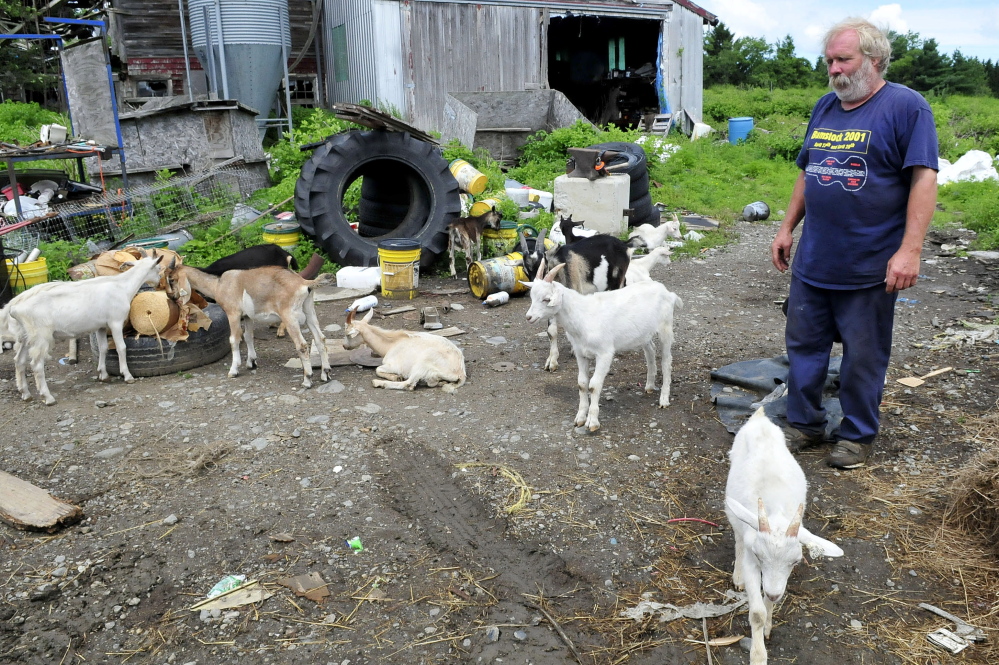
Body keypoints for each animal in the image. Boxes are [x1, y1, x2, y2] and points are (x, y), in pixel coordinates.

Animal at [8, 253, 164, 402]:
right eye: (158, 268)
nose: (160, 284)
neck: (122, 286)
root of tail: (14, 309)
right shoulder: (115, 322)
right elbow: (121, 348)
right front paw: (127, 376)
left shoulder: (101, 326)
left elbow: (103, 348)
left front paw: (103, 374)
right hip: (40, 336)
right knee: (36, 364)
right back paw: (48, 397)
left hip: (25, 336)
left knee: (19, 361)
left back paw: (25, 394)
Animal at [168, 262, 332, 386]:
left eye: (172, 279)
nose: (172, 296)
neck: (218, 284)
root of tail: (304, 283)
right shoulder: (247, 316)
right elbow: (248, 336)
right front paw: (251, 362)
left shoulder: (233, 314)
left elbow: (234, 339)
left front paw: (233, 370)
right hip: (309, 312)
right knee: (320, 339)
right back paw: (325, 374)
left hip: (289, 316)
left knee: (302, 345)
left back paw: (307, 380)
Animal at [520, 227, 628, 374]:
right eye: (525, 270)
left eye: (544, 264)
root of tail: (622, 244)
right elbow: (551, 331)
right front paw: (552, 361)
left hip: (617, 281)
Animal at [524, 262, 680, 434]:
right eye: (532, 297)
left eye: (547, 299)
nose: (529, 317)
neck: (582, 316)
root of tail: (668, 292)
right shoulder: (580, 353)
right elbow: (582, 383)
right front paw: (580, 418)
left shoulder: (604, 353)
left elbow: (594, 385)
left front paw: (592, 422)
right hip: (644, 333)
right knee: (650, 351)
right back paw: (650, 385)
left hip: (666, 327)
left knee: (667, 361)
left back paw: (664, 399)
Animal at [724, 408, 848, 660]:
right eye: (759, 556)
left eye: (796, 561)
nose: (773, 594)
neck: (777, 512)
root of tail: (760, 417)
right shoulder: (753, 559)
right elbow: (756, 613)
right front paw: (758, 656)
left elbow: (769, 601)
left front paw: (768, 624)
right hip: (733, 507)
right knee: (738, 537)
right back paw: (738, 575)